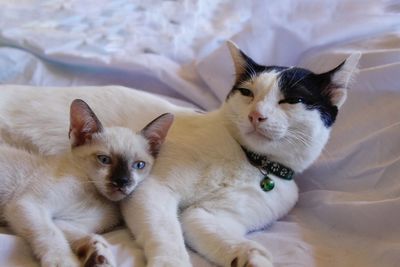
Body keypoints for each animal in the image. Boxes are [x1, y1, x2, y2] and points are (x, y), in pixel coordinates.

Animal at [0, 99, 173, 267]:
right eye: (104, 160)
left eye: (139, 165)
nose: (121, 182)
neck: (92, 194)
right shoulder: (28, 205)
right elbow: (52, 235)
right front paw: (65, 262)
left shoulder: (64, 221)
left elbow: (84, 235)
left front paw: (99, 256)